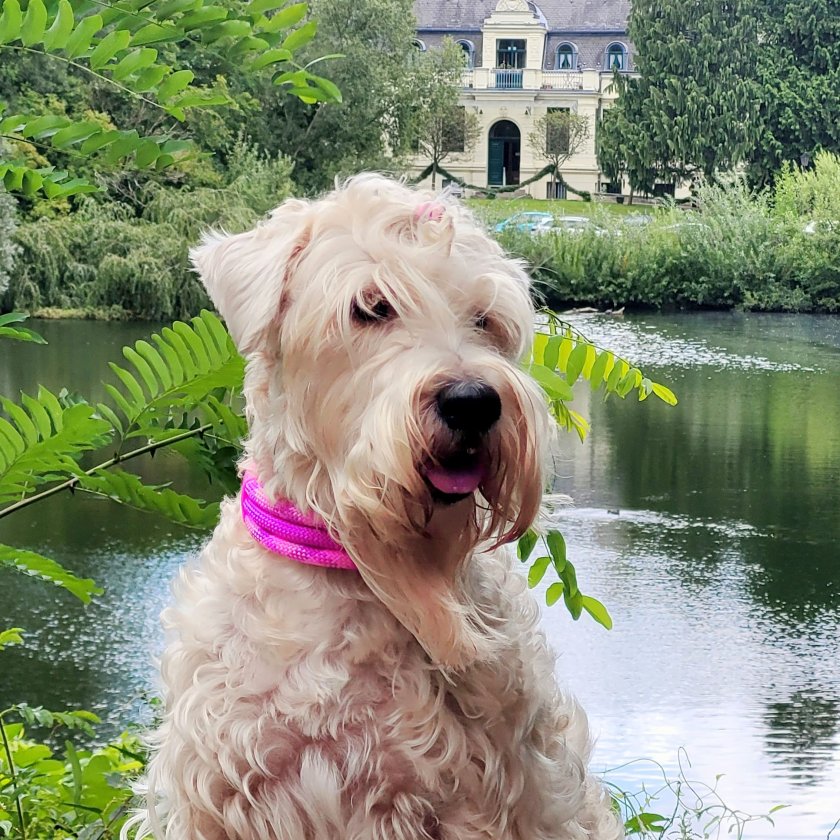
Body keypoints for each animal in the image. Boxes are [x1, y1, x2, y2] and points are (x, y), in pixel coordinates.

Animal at [126, 174, 624, 836]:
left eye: (485, 318)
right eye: (371, 306)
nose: (473, 401)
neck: (342, 570)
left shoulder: (465, 798)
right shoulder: (216, 791)